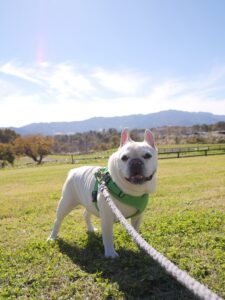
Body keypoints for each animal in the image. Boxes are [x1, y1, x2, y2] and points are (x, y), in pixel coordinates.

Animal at [48, 129, 158, 258]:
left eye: (147, 156)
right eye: (124, 158)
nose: (136, 162)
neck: (130, 191)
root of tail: (74, 171)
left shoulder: (137, 216)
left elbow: (135, 230)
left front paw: (140, 245)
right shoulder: (107, 218)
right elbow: (108, 236)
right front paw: (110, 253)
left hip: (89, 202)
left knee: (86, 214)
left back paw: (90, 229)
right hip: (66, 203)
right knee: (58, 220)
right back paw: (52, 237)